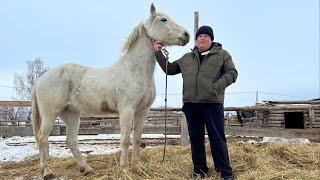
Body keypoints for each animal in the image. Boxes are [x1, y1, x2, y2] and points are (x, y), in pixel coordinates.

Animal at [31, 3, 189, 179]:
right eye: (163, 19)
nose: (186, 35)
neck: (134, 71)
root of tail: (40, 79)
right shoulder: (126, 110)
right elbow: (125, 139)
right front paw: (124, 166)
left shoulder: (142, 111)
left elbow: (137, 138)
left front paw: (136, 164)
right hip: (50, 114)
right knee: (42, 138)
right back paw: (47, 172)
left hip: (71, 114)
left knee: (70, 141)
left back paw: (86, 169)